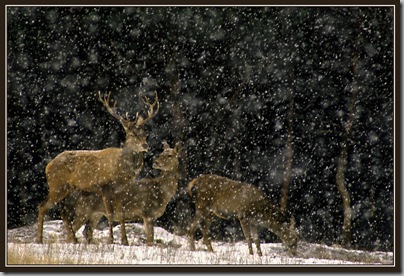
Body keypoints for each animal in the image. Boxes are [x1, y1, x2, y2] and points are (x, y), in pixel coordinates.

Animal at [36, 91, 159, 245]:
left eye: (145, 134)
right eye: (131, 134)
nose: (145, 145)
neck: (121, 170)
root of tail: (48, 166)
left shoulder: (122, 189)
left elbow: (121, 214)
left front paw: (125, 241)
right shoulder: (104, 186)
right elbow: (110, 213)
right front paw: (111, 240)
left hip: (69, 189)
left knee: (63, 212)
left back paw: (73, 239)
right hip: (57, 185)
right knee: (42, 206)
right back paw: (39, 239)